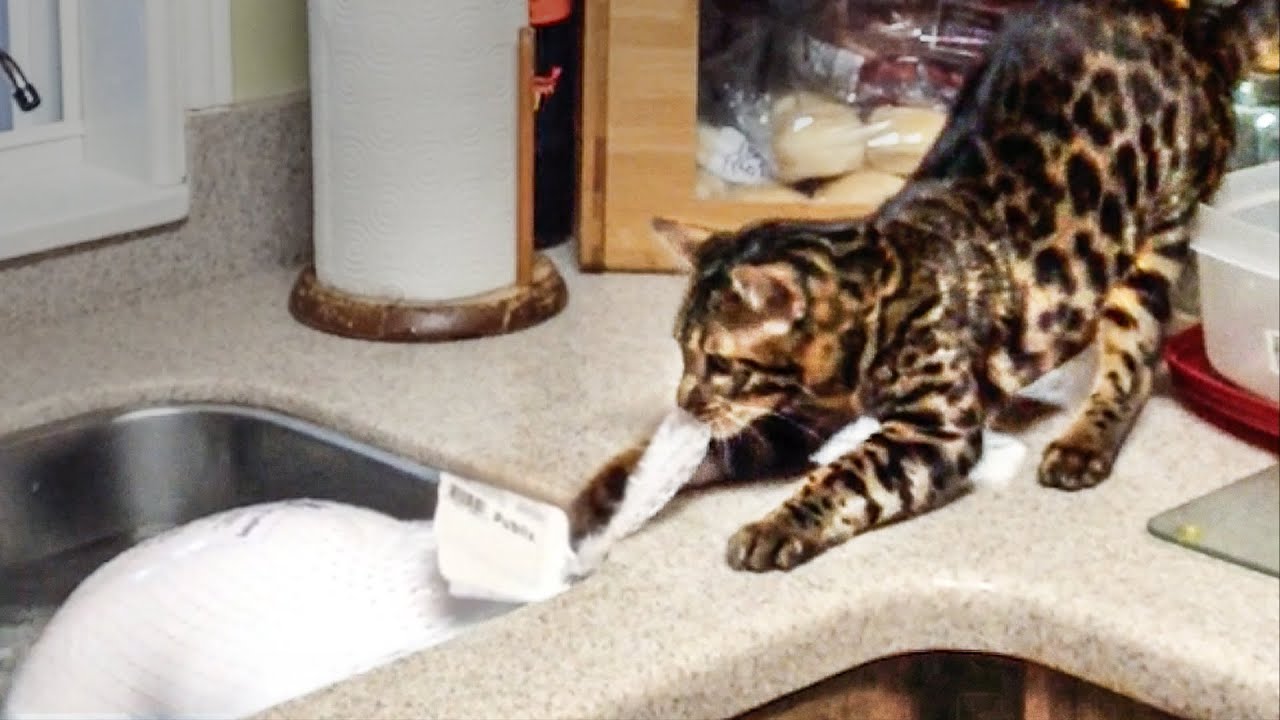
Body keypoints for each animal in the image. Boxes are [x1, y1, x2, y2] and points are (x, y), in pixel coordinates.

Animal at [572, 0, 1279, 572]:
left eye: (717, 362)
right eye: (680, 351)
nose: (686, 401)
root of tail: (1195, 30)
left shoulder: (932, 429)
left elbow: (842, 477)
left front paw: (777, 525)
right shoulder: (801, 418)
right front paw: (612, 488)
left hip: (1159, 237)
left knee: (1133, 362)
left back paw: (1084, 441)